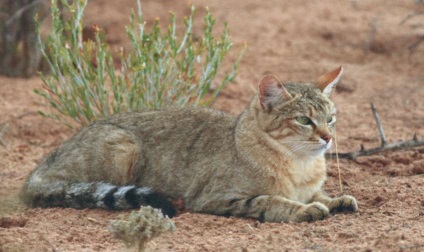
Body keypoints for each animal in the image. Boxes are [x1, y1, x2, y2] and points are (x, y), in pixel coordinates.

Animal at [20, 66, 358, 222]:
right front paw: (304, 210)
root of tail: (39, 169)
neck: (300, 165)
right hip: (124, 146)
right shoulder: (217, 198)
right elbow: (270, 201)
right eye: (303, 120)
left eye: (330, 118)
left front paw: (336, 200)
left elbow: (321, 194)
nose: (328, 138)